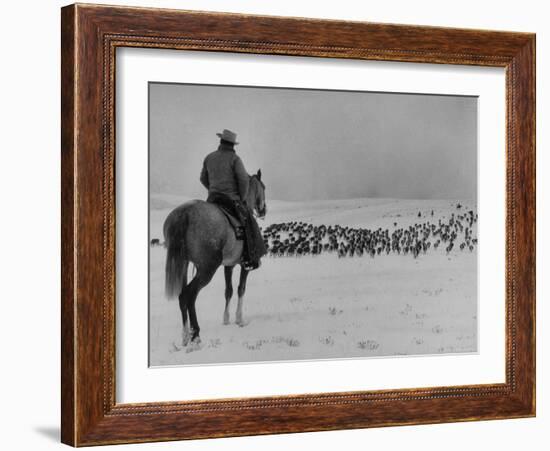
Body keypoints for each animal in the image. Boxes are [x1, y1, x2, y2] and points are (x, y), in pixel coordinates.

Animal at [164, 170, 268, 350]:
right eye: (263, 187)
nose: (263, 210)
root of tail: (185, 213)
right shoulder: (244, 265)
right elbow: (241, 289)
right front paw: (239, 319)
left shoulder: (229, 265)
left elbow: (228, 291)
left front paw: (226, 319)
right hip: (207, 268)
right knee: (189, 295)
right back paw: (195, 335)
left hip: (184, 264)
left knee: (183, 297)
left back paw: (185, 336)